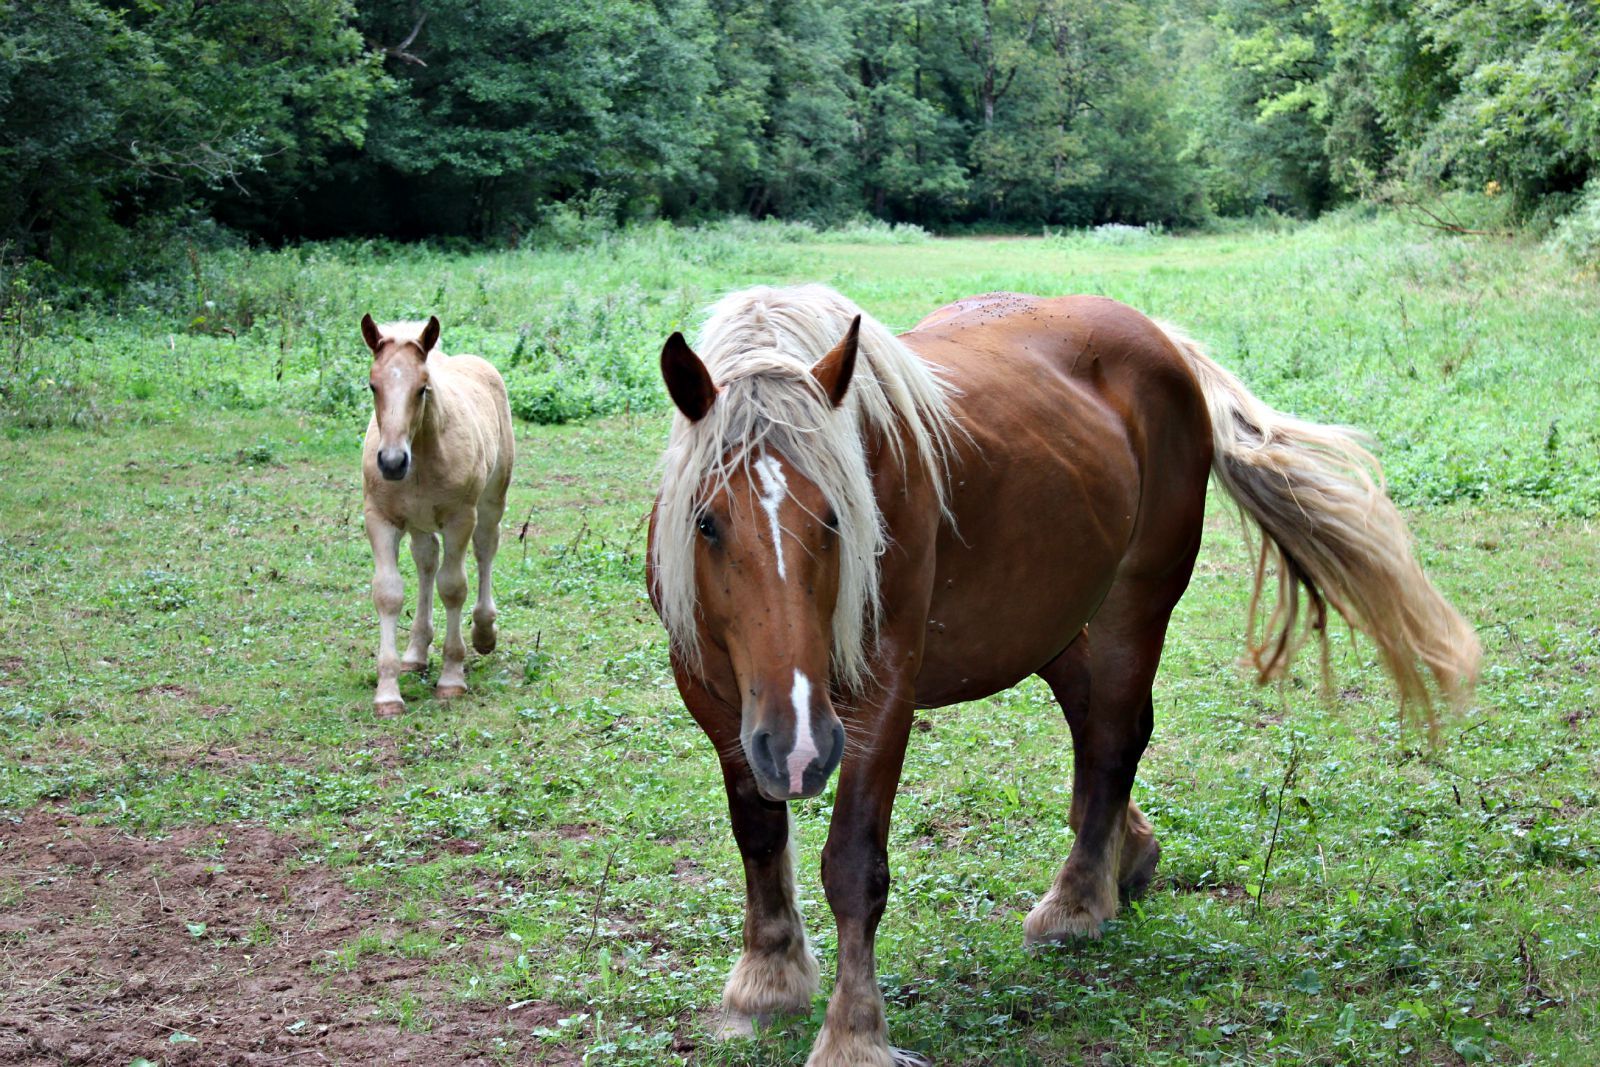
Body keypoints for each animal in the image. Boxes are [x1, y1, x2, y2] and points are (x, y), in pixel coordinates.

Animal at [361, 316, 512, 716]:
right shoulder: (380, 520)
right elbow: (388, 593)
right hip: (418, 523)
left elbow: (453, 587)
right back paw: (415, 651)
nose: (392, 462)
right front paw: (387, 693)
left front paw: (451, 678)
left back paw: (484, 631)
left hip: (491, 501)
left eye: (422, 389)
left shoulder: (460, 518)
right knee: (426, 560)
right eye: (373, 385)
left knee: (485, 549)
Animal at [643, 286, 1478, 1067]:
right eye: (706, 522)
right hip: (1049, 623)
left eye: (835, 518)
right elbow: (757, 832)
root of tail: (1157, 335)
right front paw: (766, 978)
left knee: (1114, 734)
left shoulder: (881, 695)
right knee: (1096, 727)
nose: (798, 749)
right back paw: (1126, 856)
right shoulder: (714, 699)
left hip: (1131, 604)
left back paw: (1078, 899)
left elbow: (853, 863)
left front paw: (853, 1030)